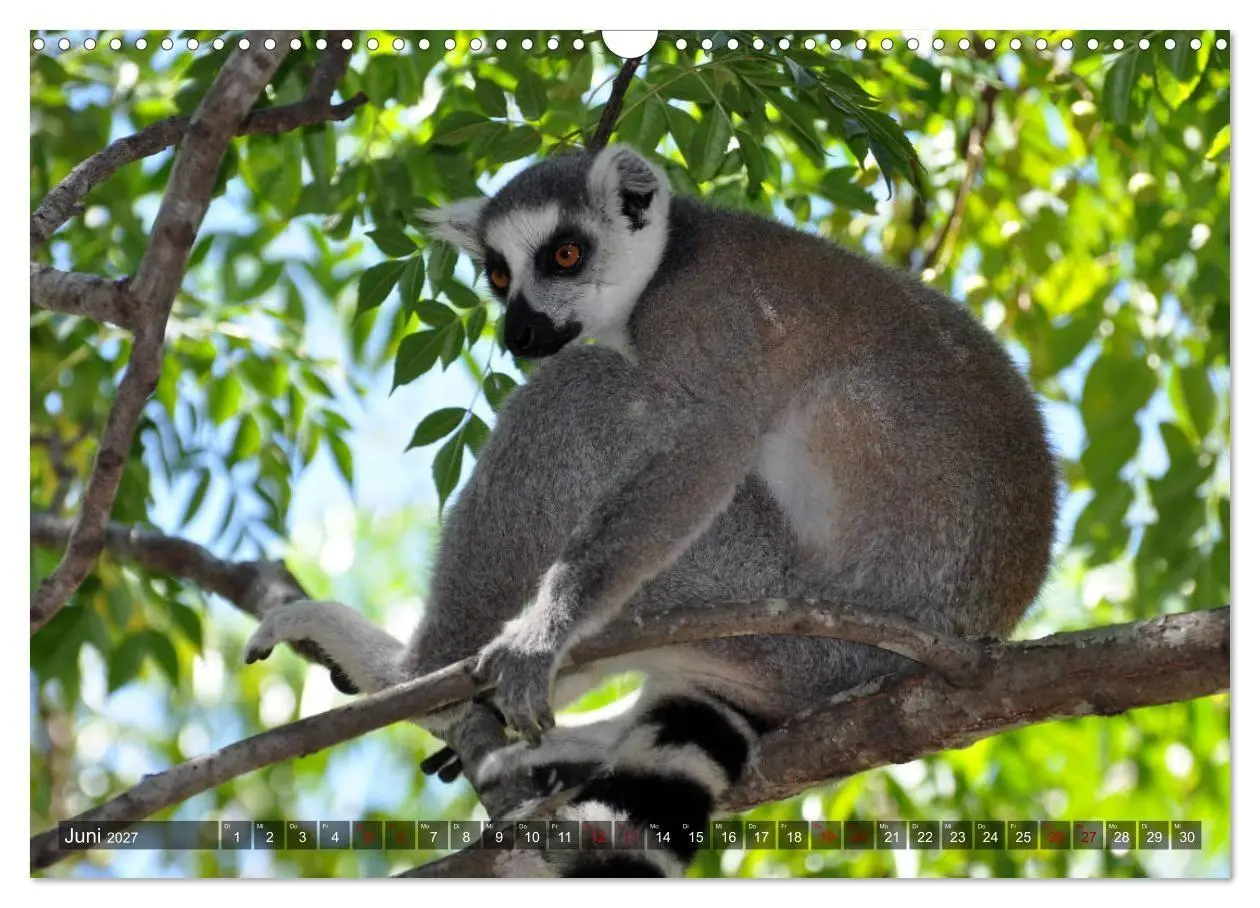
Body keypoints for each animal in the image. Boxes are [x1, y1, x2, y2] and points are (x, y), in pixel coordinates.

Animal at [243, 144, 1058, 876]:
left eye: (566, 254)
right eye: (499, 274)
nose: (519, 332)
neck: (671, 261)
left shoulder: (713, 321)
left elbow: (700, 447)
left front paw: (539, 638)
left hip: (763, 600)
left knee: (578, 392)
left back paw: (411, 674)